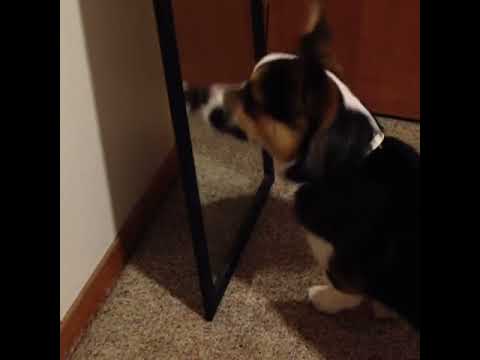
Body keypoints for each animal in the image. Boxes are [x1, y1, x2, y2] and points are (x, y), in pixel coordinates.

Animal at [184, 0, 420, 332]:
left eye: (252, 100)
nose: (192, 93)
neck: (345, 166)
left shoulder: (343, 266)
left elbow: (347, 292)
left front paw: (325, 299)